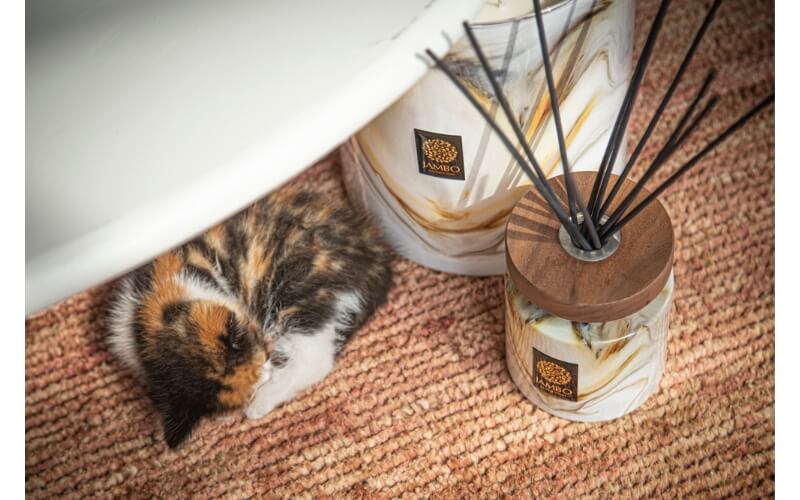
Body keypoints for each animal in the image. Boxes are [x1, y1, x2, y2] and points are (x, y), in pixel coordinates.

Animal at [108, 185, 393, 448]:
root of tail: (376, 252)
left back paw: (263, 403)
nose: (267, 372)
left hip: (297, 286)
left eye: (265, 359)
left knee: (315, 360)